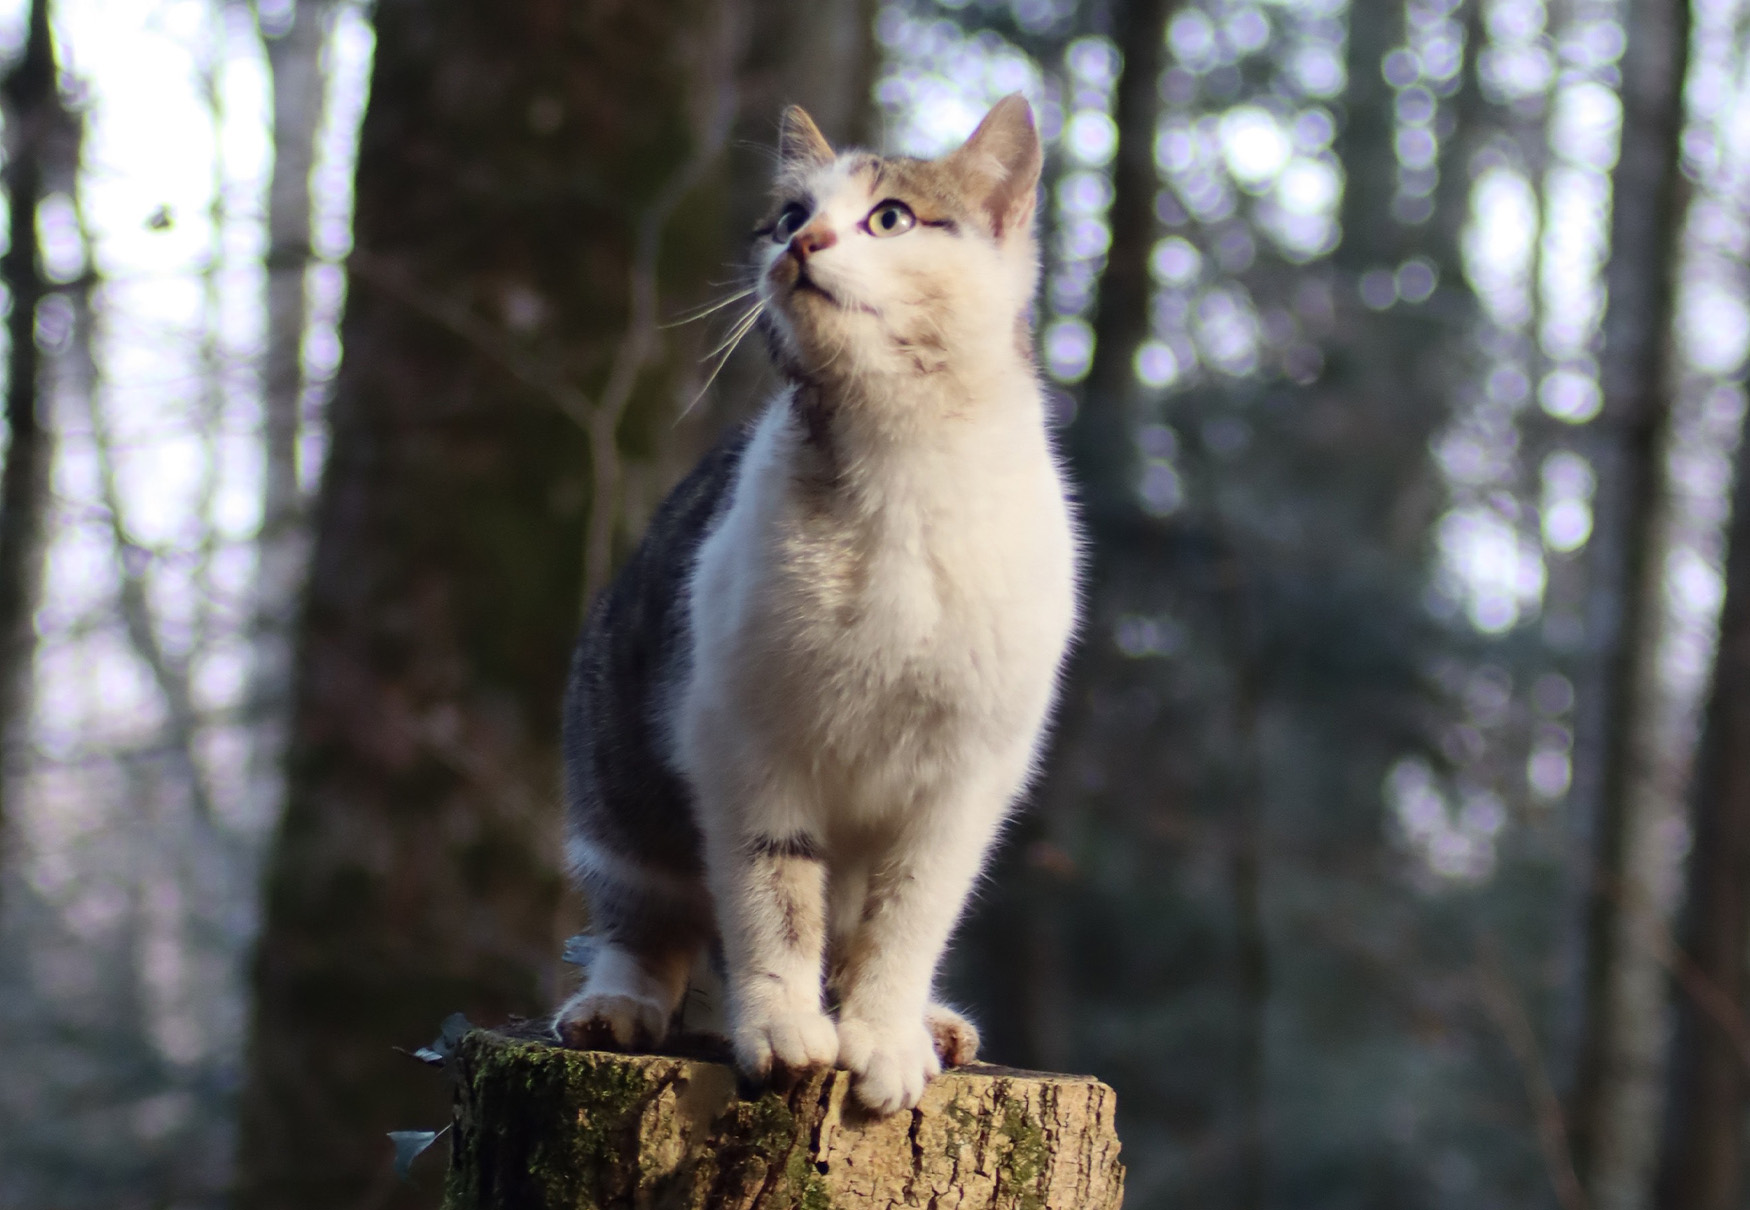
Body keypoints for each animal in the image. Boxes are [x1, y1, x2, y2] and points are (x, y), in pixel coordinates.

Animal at [556, 97, 1078, 1113]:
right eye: (791, 215)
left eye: (891, 218)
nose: (803, 243)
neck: (901, 458)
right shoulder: (744, 737)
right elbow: (774, 892)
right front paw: (787, 1029)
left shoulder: (969, 773)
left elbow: (910, 914)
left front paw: (884, 1036)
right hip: (617, 784)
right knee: (652, 924)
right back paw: (619, 1004)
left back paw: (934, 1024)